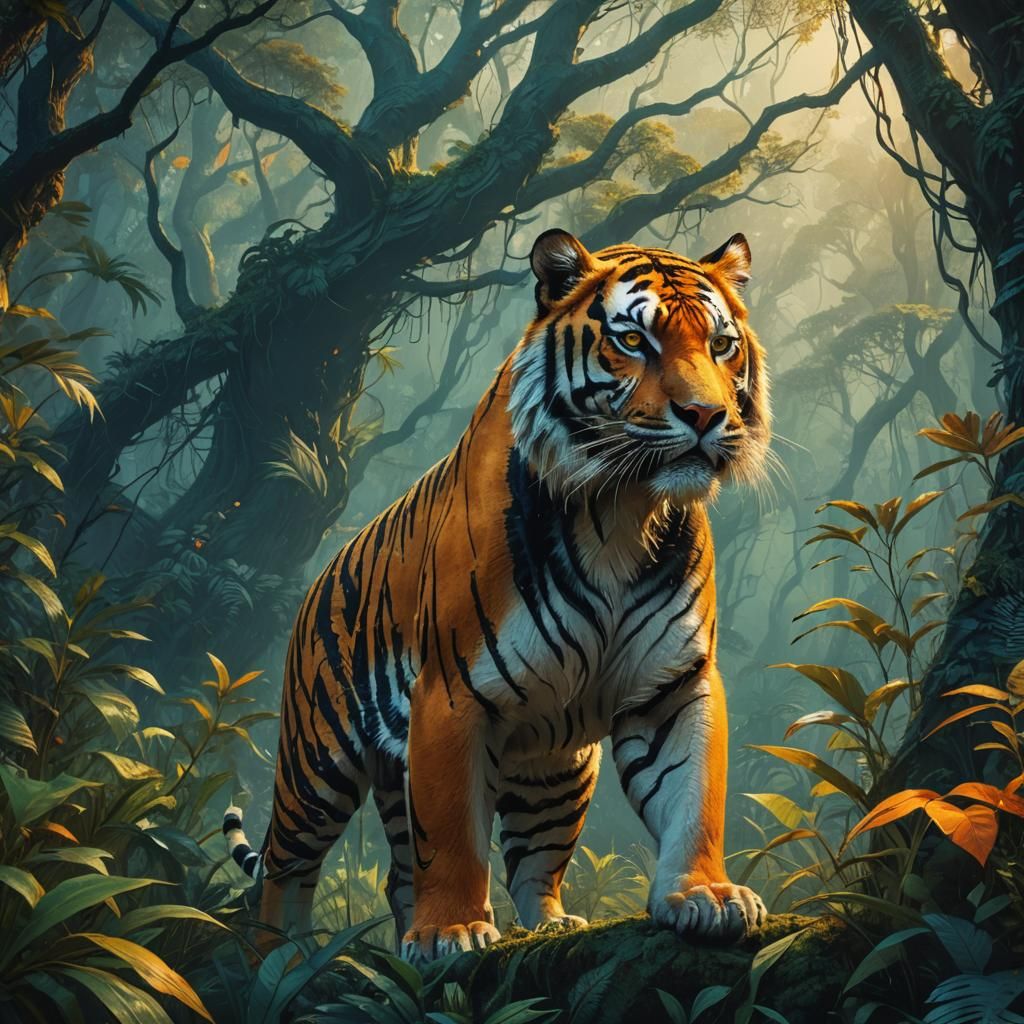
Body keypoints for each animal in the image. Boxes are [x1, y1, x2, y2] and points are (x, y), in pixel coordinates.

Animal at [223, 228, 771, 962]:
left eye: (720, 344)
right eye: (634, 341)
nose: (706, 415)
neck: (621, 512)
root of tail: (318, 579)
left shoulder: (674, 684)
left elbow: (693, 796)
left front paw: (706, 896)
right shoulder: (451, 697)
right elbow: (454, 834)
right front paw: (452, 931)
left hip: (554, 769)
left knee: (510, 865)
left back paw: (551, 925)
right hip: (315, 766)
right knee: (286, 869)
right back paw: (281, 956)